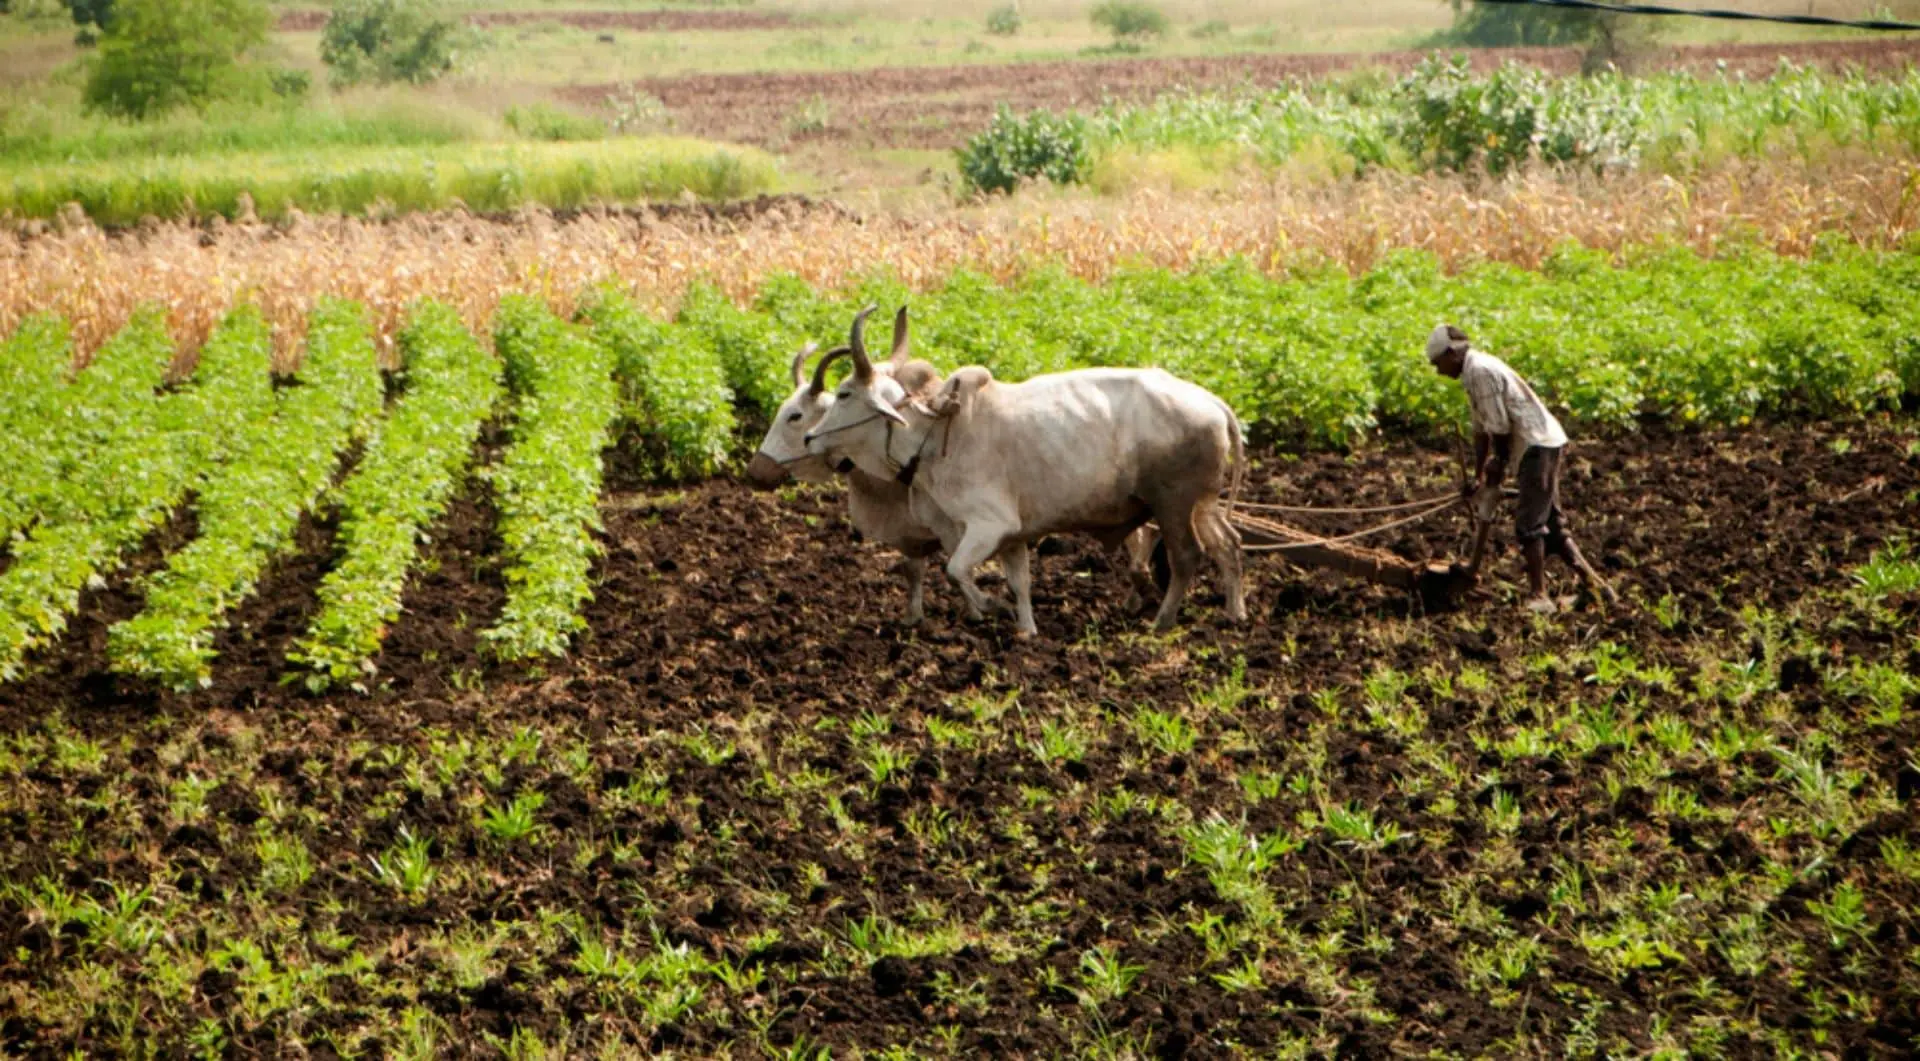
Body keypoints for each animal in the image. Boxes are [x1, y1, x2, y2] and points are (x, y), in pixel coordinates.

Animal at [804, 305, 1245, 637]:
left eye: (844, 394)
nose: (810, 437)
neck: (935, 433)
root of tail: (1211, 402)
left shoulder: (988, 525)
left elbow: (956, 570)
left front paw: (992, 606)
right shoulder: (1011, 537)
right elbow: (1019, 582)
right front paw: (1026, 630)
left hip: (1173, 504)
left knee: (1186, 556)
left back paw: (1163, 621)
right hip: (1202, 504)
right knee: (1228, 544)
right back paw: (1235, 612)